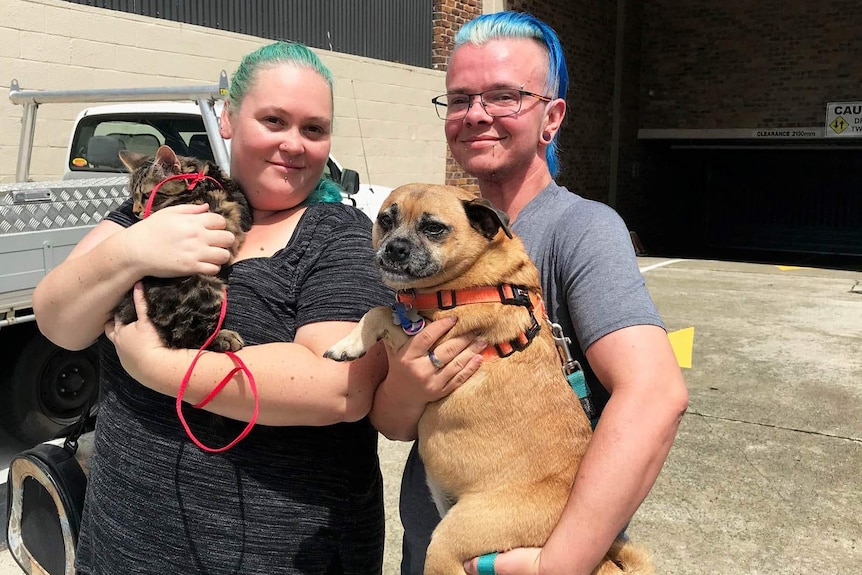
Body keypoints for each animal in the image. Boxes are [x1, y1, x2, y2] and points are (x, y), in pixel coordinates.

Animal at [115, 144, 251, 354]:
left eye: (146, 195)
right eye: (133, 196)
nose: (135, 211)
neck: (197, 178)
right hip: (206, 288)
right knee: (185, 337)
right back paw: (222, 338)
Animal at [328, 184, 652, 575]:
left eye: (433, 228)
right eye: (386, 220)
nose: (395, 248)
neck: (474, 278)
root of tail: (602, 561)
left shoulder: (432, 346)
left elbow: (380, 312)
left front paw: (348, 344)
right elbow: (383, 310)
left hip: (450, 544)